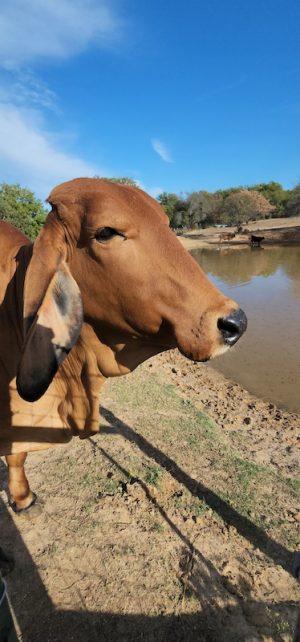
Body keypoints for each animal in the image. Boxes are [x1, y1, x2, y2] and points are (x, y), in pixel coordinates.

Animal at [0, 178, 246, 512]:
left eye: (167, 225)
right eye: (106, 232)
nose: (235, 323)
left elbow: (17, 454)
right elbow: (17, 452)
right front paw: (23, 498)